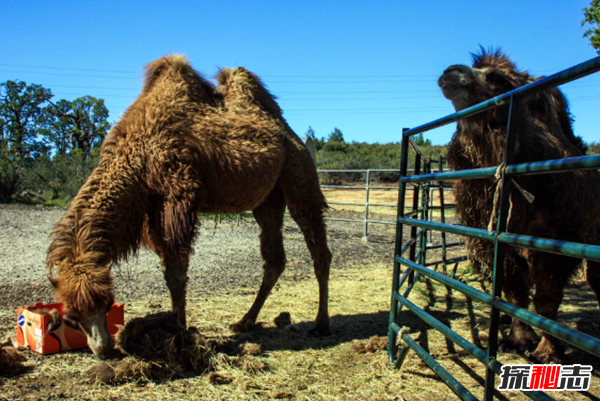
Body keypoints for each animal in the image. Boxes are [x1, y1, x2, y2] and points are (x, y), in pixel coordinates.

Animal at [47, 54, 332, 358]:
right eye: (70, 317)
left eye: (108, 303)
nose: (103, 350)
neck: (137, 158)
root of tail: (292, 133)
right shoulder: (152, 213)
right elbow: (168, 271)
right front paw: (176, 326)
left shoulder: (177, 198)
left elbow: (176, 274)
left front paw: (179, 329)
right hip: (268, 199)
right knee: (274, 258)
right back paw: (244, 321)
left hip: (298, 172)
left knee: (317, 245)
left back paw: (321, 324)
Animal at [436, 48, 600, 360]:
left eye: (497, 79)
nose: (450, 71)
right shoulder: (498, 241)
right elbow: (514, 293)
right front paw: (517, 340)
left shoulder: (557, 240)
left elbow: (547, 300)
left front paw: (548, 351)